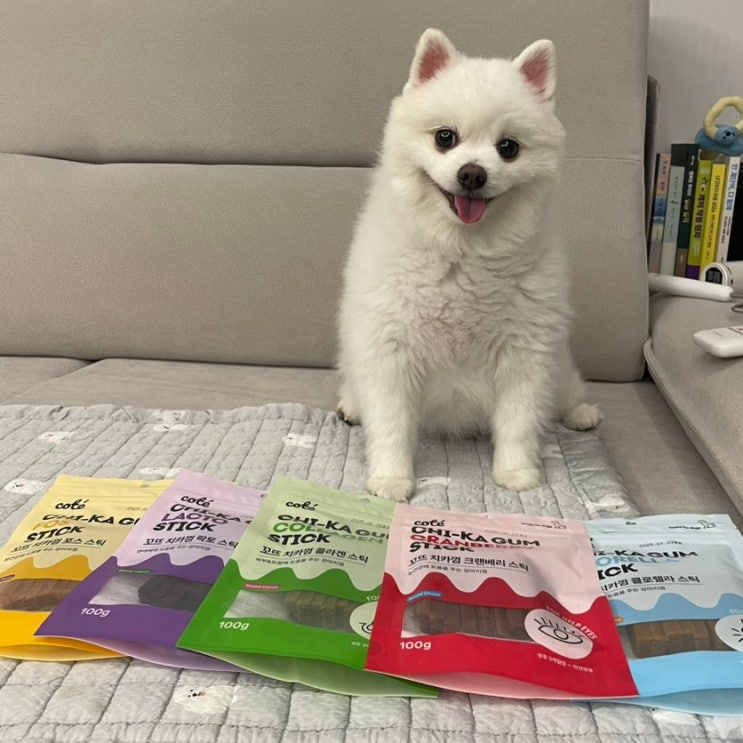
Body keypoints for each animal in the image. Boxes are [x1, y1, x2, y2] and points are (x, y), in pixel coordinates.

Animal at [337, 29, 602, 502]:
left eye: (508, 148)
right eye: (445, 137)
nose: (473, 174)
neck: (462, 254)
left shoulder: (525, 353)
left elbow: (519, 420)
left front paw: (516, 472)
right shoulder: (389, 350)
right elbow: (390, 422)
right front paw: (391, 479)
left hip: (559, 366)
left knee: (565, 391)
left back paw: (579, 412)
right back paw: (351, 405)